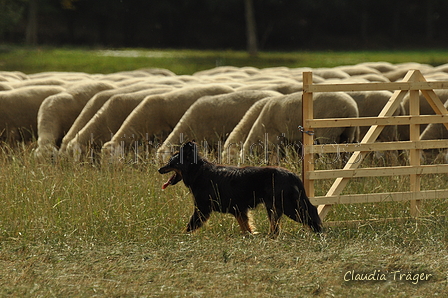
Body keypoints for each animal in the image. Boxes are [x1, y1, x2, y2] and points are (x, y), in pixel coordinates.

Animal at [158, 142, 322, 237]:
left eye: (170, 163)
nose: (159, 169)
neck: (197, 171)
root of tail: (292, 175)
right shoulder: (239, 210)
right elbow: (246, 227)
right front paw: (251, 236)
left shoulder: (202, 209)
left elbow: (190, 226)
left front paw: (180, 237)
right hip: (274, 207)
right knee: (276, 227)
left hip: (289, 206)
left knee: (311, 213)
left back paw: (319, 233)